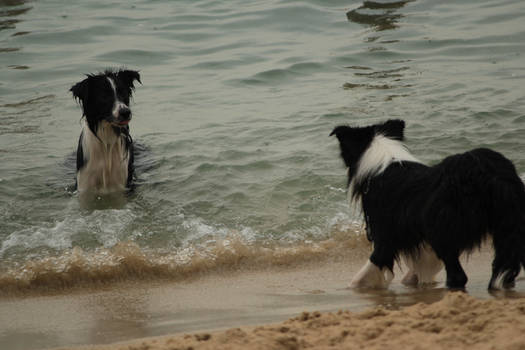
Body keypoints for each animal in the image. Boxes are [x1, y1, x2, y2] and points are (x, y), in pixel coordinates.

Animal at [332, 120, 524, 290]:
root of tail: (485, 174)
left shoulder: (385, 237)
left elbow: (365, 272)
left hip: (443, 232)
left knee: (459, 275)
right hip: (508, 226)